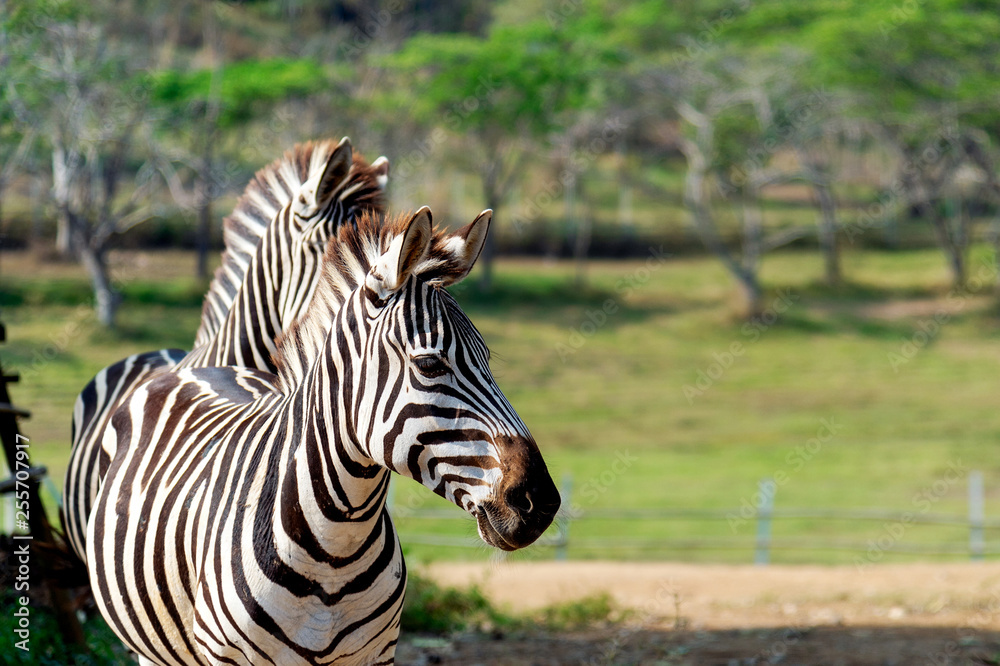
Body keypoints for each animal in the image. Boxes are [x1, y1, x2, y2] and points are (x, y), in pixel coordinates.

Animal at [87, 207, 560, 665]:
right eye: (429, 364)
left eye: (487, 360)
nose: (541, 502)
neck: (335, 551)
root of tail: (199, 368)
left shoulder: (377, 656)